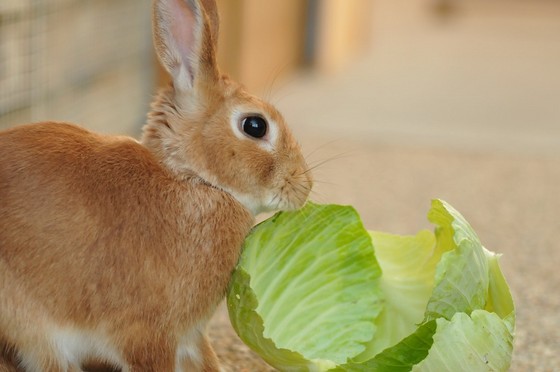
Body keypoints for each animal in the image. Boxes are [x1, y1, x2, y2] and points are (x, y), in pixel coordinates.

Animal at [0, 0, 310, 370]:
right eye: (255, 125)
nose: (303, 187)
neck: (193, 179)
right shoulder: (147, 334)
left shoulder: (191, 335)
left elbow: (208, 360)